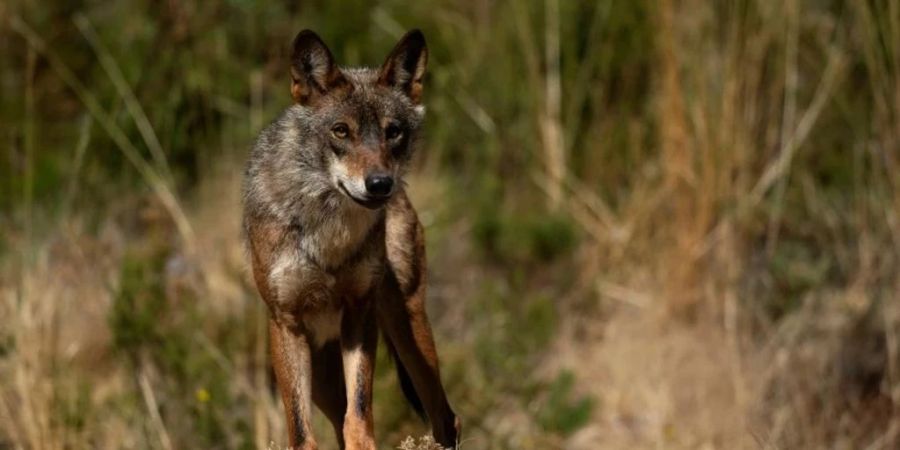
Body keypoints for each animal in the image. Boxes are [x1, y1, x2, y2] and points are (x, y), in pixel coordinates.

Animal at [243, 29, 460, 450]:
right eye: (341, 130)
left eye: (393, 131)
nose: (380, 184)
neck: (329, 231)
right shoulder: (285, 321)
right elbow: (302, 433)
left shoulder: (360, 311)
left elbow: (359, 415)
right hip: (322, 378)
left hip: (408, 328)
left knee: (447, 419)